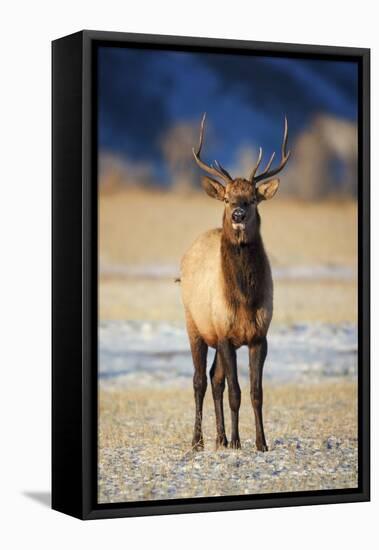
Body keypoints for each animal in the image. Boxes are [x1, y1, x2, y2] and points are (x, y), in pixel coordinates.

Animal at [180, 113, 290, 452]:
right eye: (228, 198)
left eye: (253, 199)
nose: (239, 214)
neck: (243, 300)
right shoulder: (225, 333)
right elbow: (235, 392)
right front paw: (239, 442)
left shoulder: (259, 336)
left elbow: (256, 393)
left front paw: (260, 443)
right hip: (195, 324)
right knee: (199, 380)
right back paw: (199, 440)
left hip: (213, 335)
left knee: (214, 379)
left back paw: (220, 437)